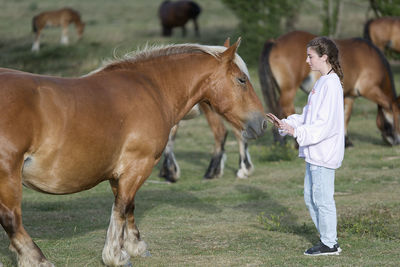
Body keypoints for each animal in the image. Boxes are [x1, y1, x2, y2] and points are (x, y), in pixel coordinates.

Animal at [0, 38, 268, 266]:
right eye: (242, 80)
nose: (263, 123)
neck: (152, 87)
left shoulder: (120, 173)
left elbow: (128, 207)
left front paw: (134, 245)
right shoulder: (138, 165)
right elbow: (122, 207)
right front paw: (115, 255)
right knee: (12, 219)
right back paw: (37, 259)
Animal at [260, 30, 400, 147]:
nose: (396, 141)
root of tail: (275, 42)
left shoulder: (350, 95)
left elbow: (346, 115)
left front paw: (346, 141)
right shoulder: (369, 90)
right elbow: (386, 103)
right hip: (289, 90)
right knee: (286, 107)